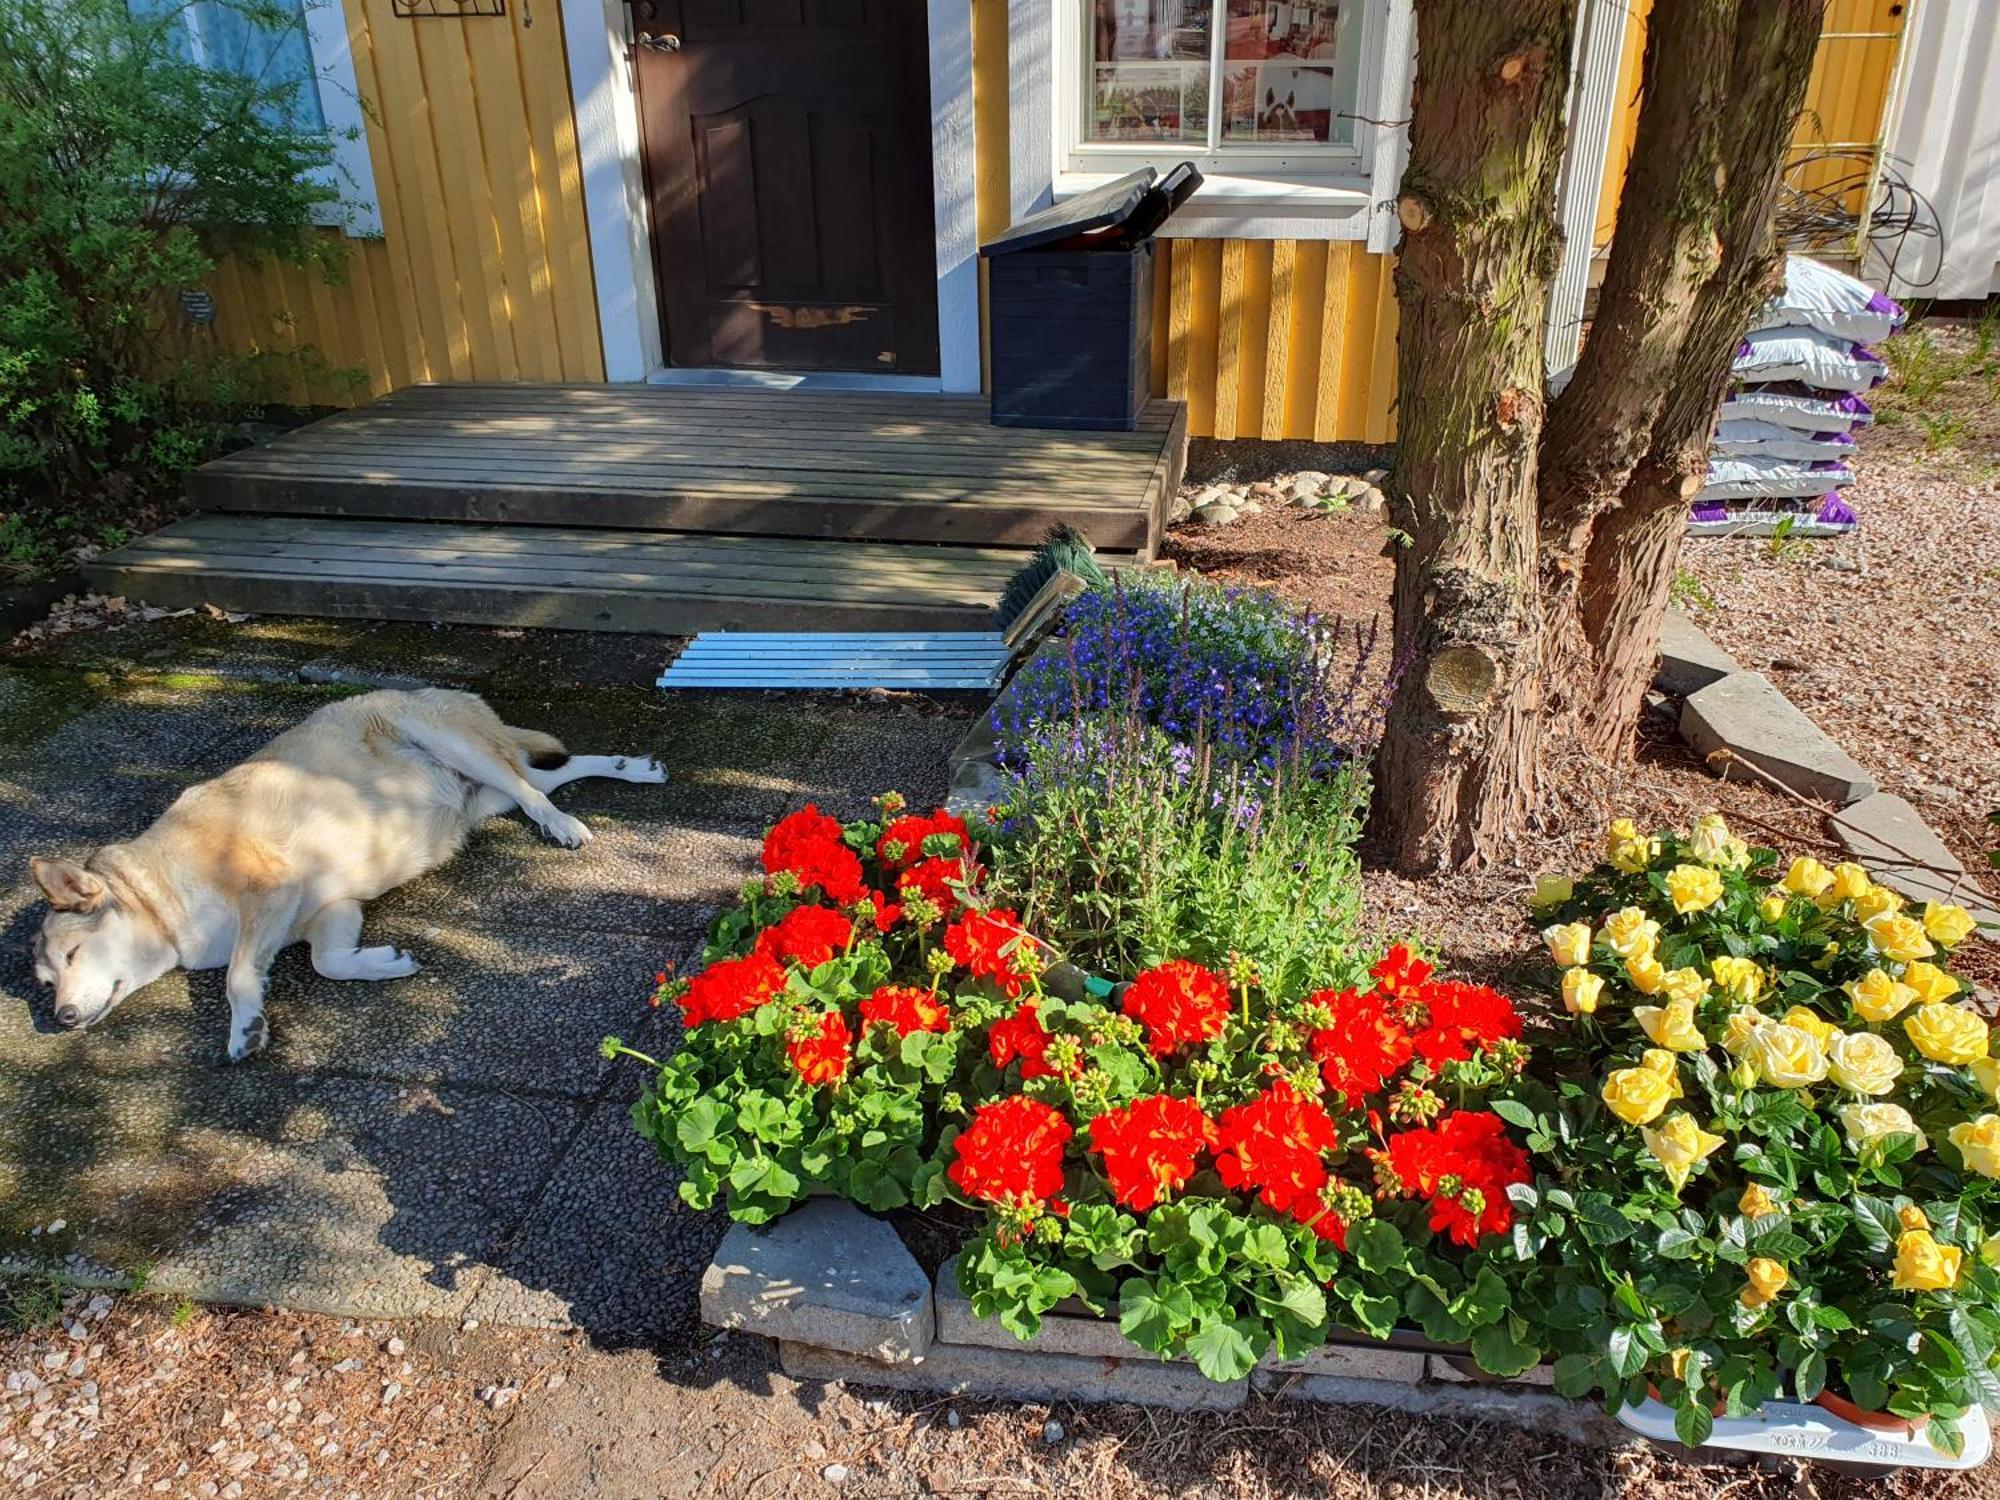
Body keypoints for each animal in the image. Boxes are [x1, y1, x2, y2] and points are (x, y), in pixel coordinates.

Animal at [27, 688, 664, 1064]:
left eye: (74, 954)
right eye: (44, 981)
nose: (61, 1019)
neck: (158, 895)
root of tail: (425, 688)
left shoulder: (268, 886)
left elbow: (238, 976)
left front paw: (245, 1027)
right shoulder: (331, 909)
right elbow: (327, 962)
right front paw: (386, 963)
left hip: (459, 747)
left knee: (534, 790)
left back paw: (565, 825)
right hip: (485, 796)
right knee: (544, 776)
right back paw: (630, 768)